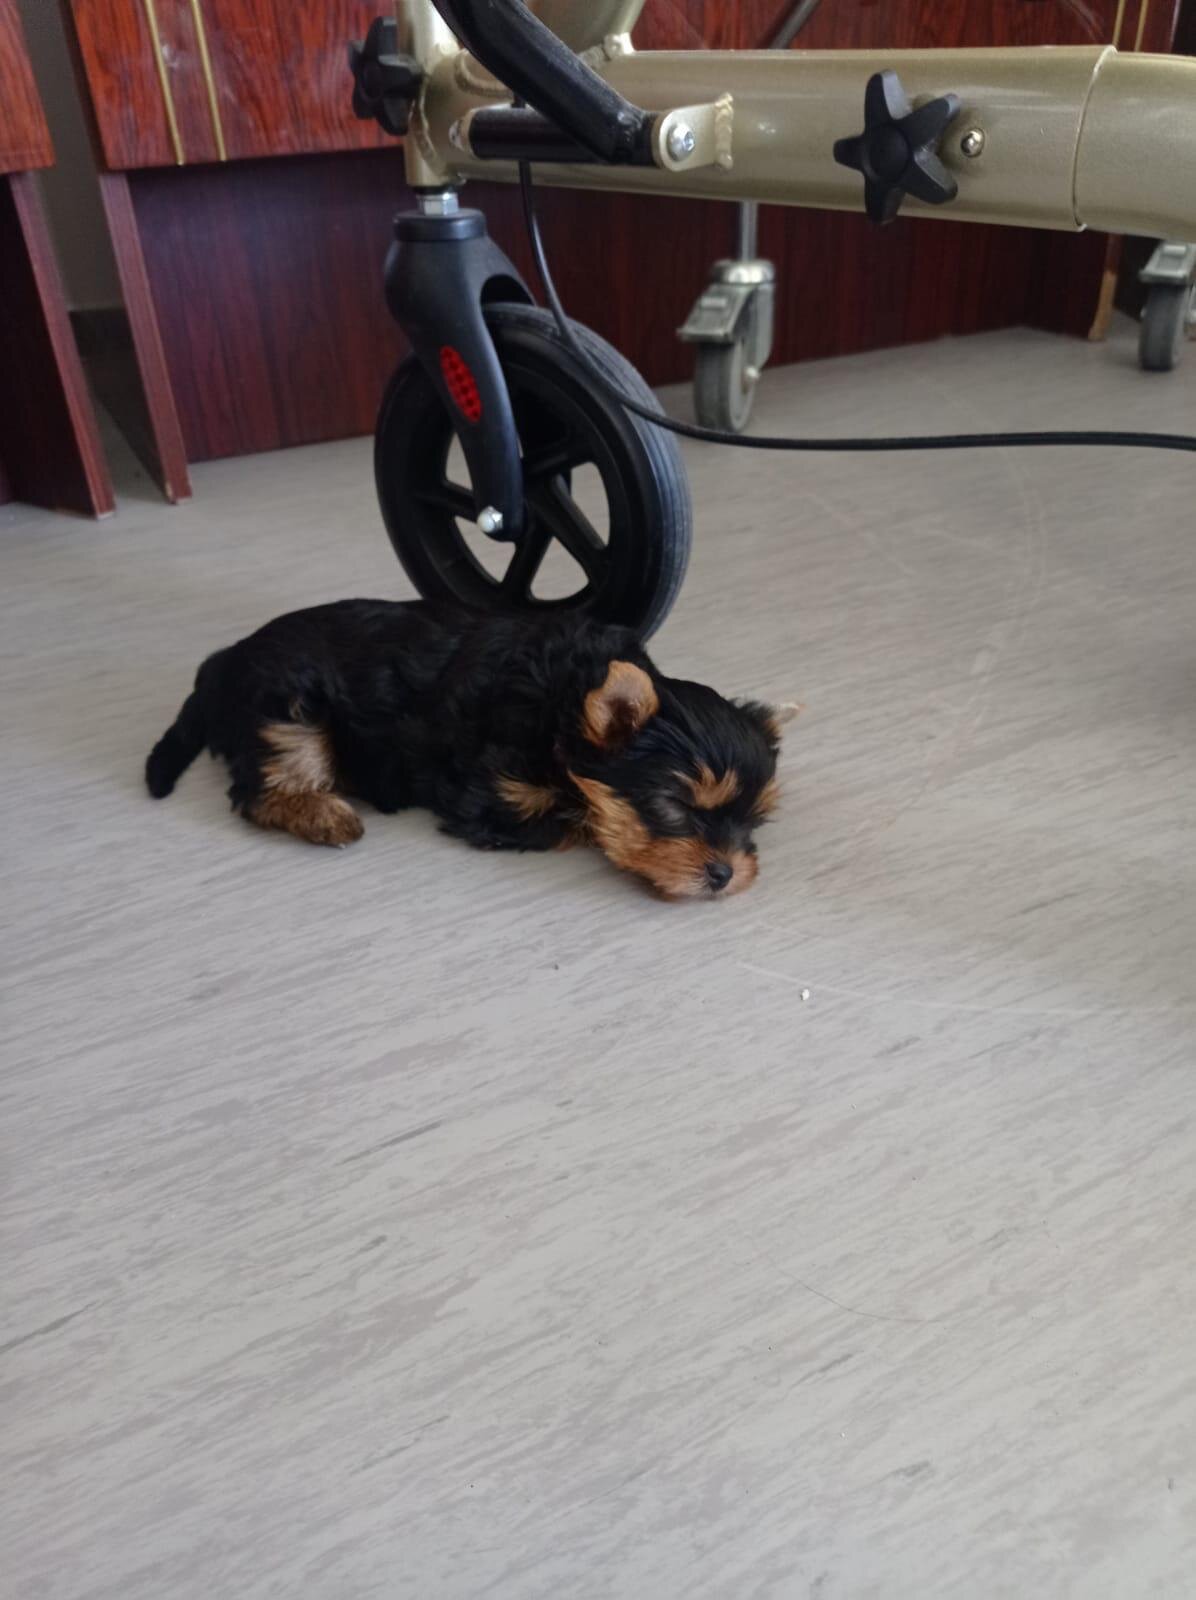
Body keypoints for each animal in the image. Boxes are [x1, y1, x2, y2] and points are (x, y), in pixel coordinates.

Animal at [146, 601, 799, 899]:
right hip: (289, 707)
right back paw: (327, 815)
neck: (565, 700)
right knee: (260, 789)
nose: (726, 873)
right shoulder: (494, 797)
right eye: (674, 808)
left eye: (754, 822)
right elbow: (574, 819)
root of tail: (224, 663)